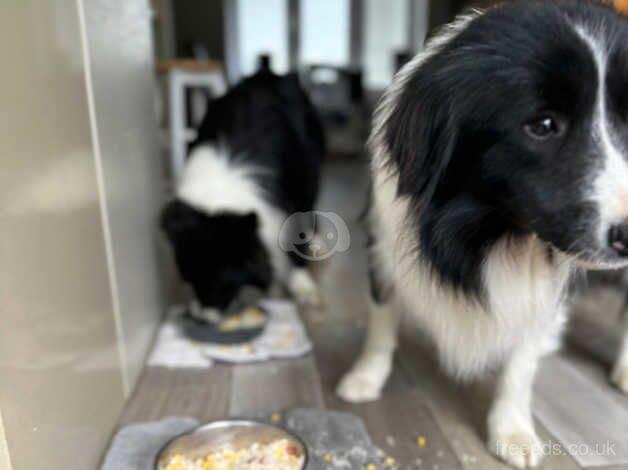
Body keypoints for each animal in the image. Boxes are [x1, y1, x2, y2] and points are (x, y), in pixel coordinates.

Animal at [159, 70, 326, 318]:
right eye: (190, 278)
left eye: (223, 282)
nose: (203, 318)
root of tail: (267, 74)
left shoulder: (299, 189)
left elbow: (299, 234)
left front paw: (302, 286)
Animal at [338, 0, 628, 466]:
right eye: (543, 125)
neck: (495, 232)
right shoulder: (382, 242)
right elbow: (381, 320)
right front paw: (365, 377)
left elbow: (521, 362)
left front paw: (512, 431)